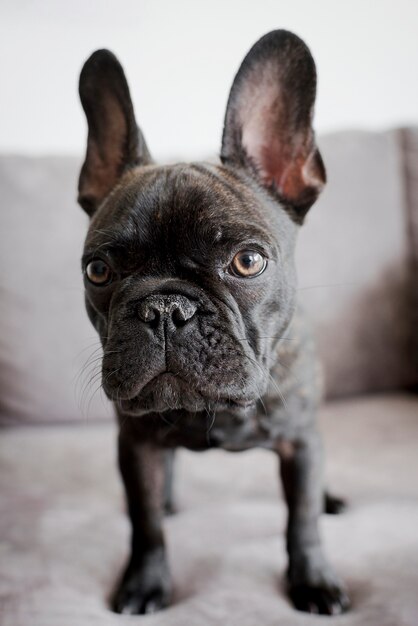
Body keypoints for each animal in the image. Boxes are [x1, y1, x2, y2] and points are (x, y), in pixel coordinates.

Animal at [77, 29, 350, 616]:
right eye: (98, 270)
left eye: (247, 261)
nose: (165, 309)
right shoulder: (135, 444)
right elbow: (145, 524)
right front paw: (144, 583)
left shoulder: (301, 442)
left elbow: (302, 520)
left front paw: (312, 579)